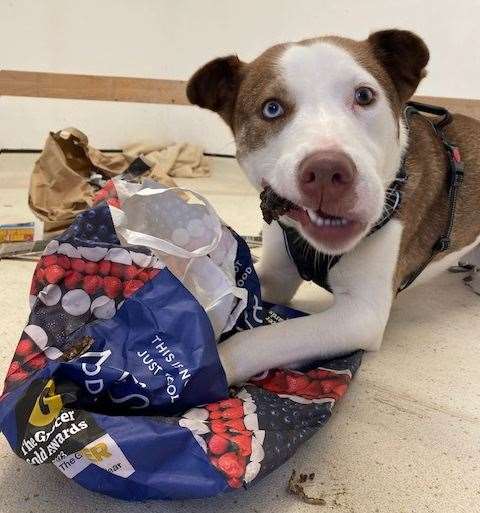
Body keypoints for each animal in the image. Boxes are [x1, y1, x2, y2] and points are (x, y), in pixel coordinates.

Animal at [186, 29, 480, 384]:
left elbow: (259, 339)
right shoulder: (276, 277)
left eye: (364, 95)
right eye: (271, 109)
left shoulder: (361, 314)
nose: (326, 171)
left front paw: (209, 367)